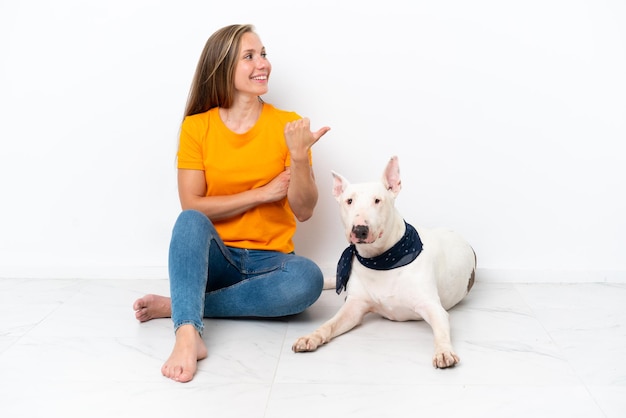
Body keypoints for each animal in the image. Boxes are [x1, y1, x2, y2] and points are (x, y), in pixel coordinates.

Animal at [292, 155, 472, 368]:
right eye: (349, 201)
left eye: (377, 200)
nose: (360, 230)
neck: (381, 260)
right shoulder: (354, 306)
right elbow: (329, 324)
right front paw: (311, 337)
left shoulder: (432, 307)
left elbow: (441, 331)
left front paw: (443, 351)